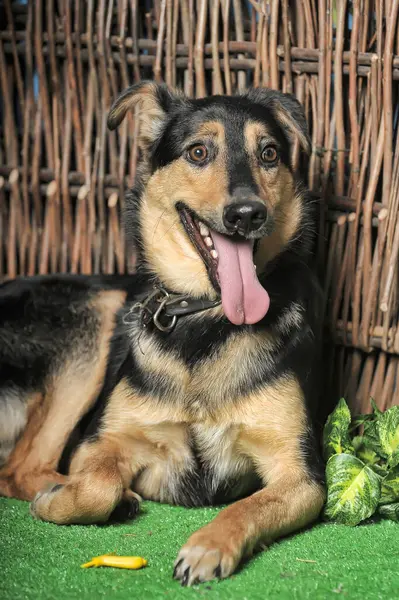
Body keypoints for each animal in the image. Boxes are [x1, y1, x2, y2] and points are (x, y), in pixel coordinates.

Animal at [0, 82, 324, 584]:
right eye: (198, 152)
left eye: (269, 153)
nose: (248, 214)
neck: (205, 319)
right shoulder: (100, 441)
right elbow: (95, 485)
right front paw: (68, 498)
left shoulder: (300, 473)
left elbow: (249, 506)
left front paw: (209, 545)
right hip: (98, 314)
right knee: (21, 467)